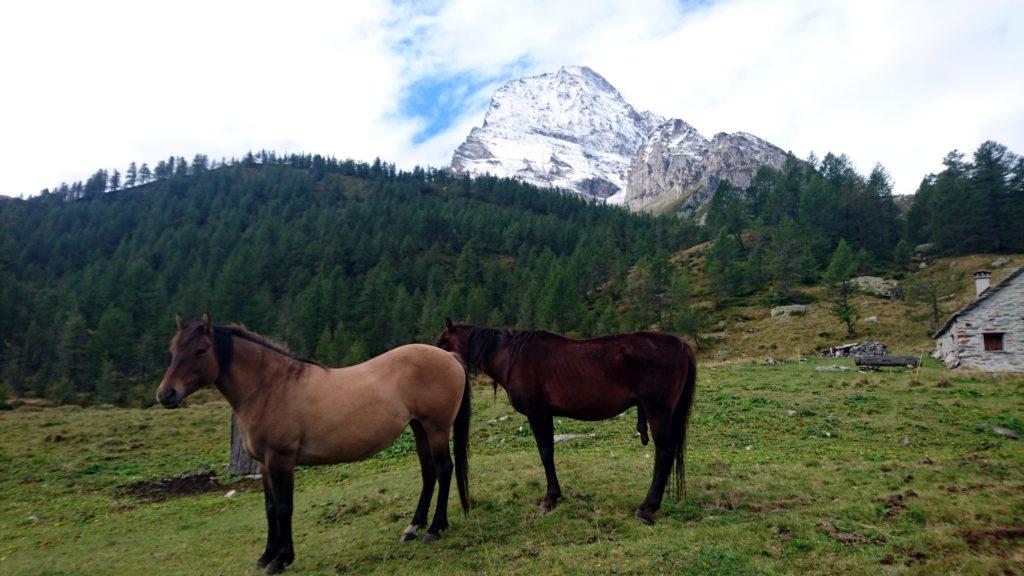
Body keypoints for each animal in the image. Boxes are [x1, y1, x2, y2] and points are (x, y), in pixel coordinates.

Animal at [154, 315, 471, 569]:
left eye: (200, 350)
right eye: (172, 350)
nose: (166, 394)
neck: (270, 388)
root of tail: (450, 357)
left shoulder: (281, 459)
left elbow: (284, 506)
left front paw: (282, 559)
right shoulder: (265, 464)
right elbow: (270, 508)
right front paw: (266, 556)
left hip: (436, 428)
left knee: (444, 470)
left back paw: (435, 529)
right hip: (419, 428)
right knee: (429, 473)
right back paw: (413, 528)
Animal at [434, 317, 696, 524]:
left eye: (442, 342)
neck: (511, 356)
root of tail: (681, 345)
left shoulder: (538, 413)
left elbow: (545, 452)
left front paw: (550, 498)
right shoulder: (545, 414)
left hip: (657, 411)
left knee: (665, 452)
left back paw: (647, 507)